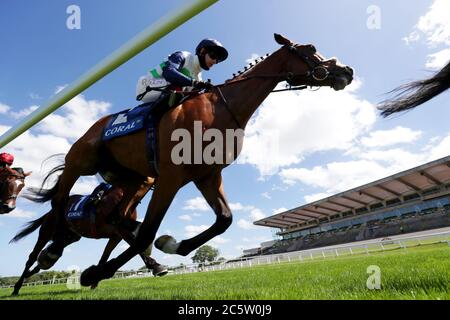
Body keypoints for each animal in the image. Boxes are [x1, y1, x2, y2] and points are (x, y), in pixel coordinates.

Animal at [11, 182, 169, 296]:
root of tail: (50, 211)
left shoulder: (116, 236)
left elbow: (106, 255)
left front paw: (95, 280)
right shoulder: (119, 228)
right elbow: (137, 245)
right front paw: (156, 266)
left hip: (71, 237)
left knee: (52, 251)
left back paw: (38, 267)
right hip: (46, 232)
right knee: (32, 257)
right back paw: (16, 288)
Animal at [27, 33, 356, 286]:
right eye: (311, 48)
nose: (347, 70)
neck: (219, 109)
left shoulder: (207, 175)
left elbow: (224, 220)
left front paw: (172, 244)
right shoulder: (170, 178)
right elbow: (148, 231)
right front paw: (98, 271)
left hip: (132, 179)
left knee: (117, 218)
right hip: (80, 164)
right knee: (59, 203)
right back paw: (50, 252)